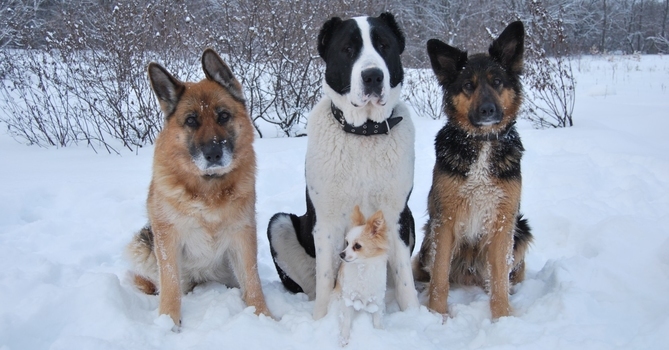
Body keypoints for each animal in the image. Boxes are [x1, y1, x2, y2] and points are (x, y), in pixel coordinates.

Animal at [124, 47, 270, 326]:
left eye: (223, 116)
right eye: (191, 121)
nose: (213, 154)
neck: (208, 188)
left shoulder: (242, 235)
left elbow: (253, 282)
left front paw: (263, 317)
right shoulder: (168, 239)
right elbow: (170, 285)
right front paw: (168, 322)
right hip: (142, 242)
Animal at [266, 12, 418, 320]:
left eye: (384, 45)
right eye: (348, 49)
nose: (373, 76)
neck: (364, 134)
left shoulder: (397, 215)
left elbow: (405, 278)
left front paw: (416, 317)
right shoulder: (327, 220)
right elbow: (327, 277)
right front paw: (322, 321)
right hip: (279, 223)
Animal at [336, 206, 388, 346]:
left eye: (357, 246)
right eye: (347, 243)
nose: (341, 254)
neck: (363, 268)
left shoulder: (377, 298)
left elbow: (377, 318)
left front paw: (379, 332)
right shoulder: (349, 299)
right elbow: (346, 322)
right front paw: (344, 339)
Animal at [412, 19, 532, 320]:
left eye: (497, 81)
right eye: (468, 85)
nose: (488, 110)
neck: (481, 143)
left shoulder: (503, 220)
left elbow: (499, 279)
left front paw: (502, 317)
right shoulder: (444, 220)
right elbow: (439, 276)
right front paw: (437, 315)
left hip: (522, 228)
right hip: (428, 237)